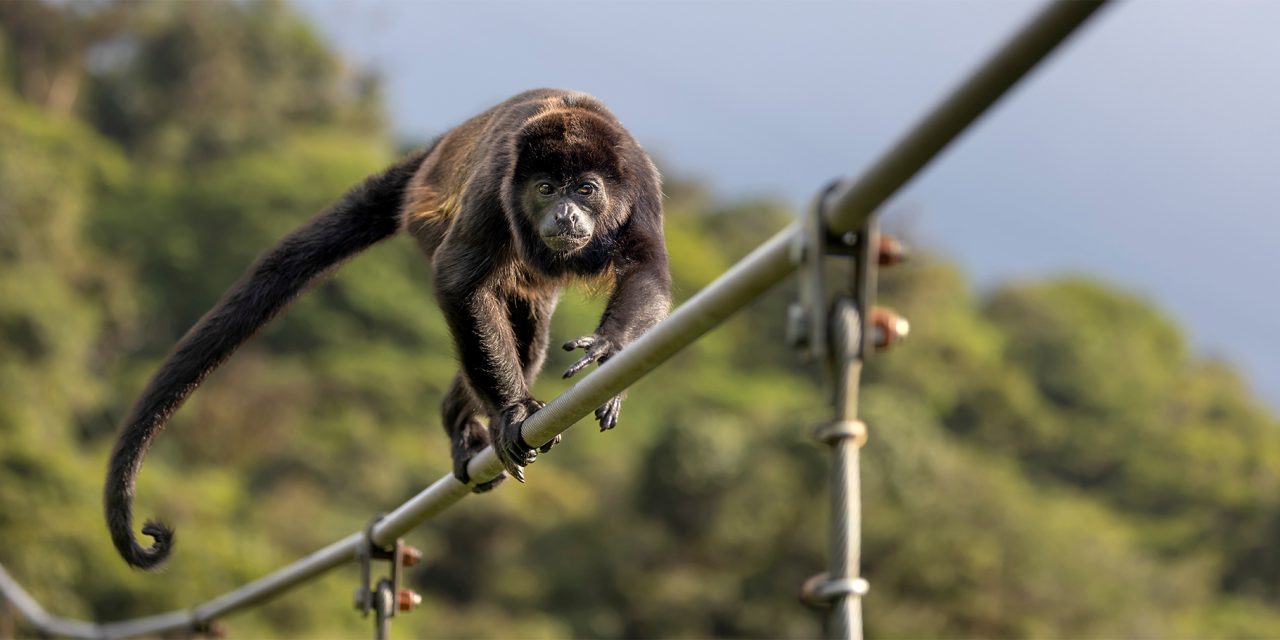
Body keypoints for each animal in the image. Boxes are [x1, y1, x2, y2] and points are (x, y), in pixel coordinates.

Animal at [104, 89, 672, 570]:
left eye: (586, 189)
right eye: (546, 188)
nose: (564, 213)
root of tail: (434, 150)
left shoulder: (640, 182)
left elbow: (648, 269)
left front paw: (610, 349)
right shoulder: (497, 185)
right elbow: (459, 278)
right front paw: (511, 410)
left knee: (529, 336)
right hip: (428, 215)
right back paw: (463, 424)